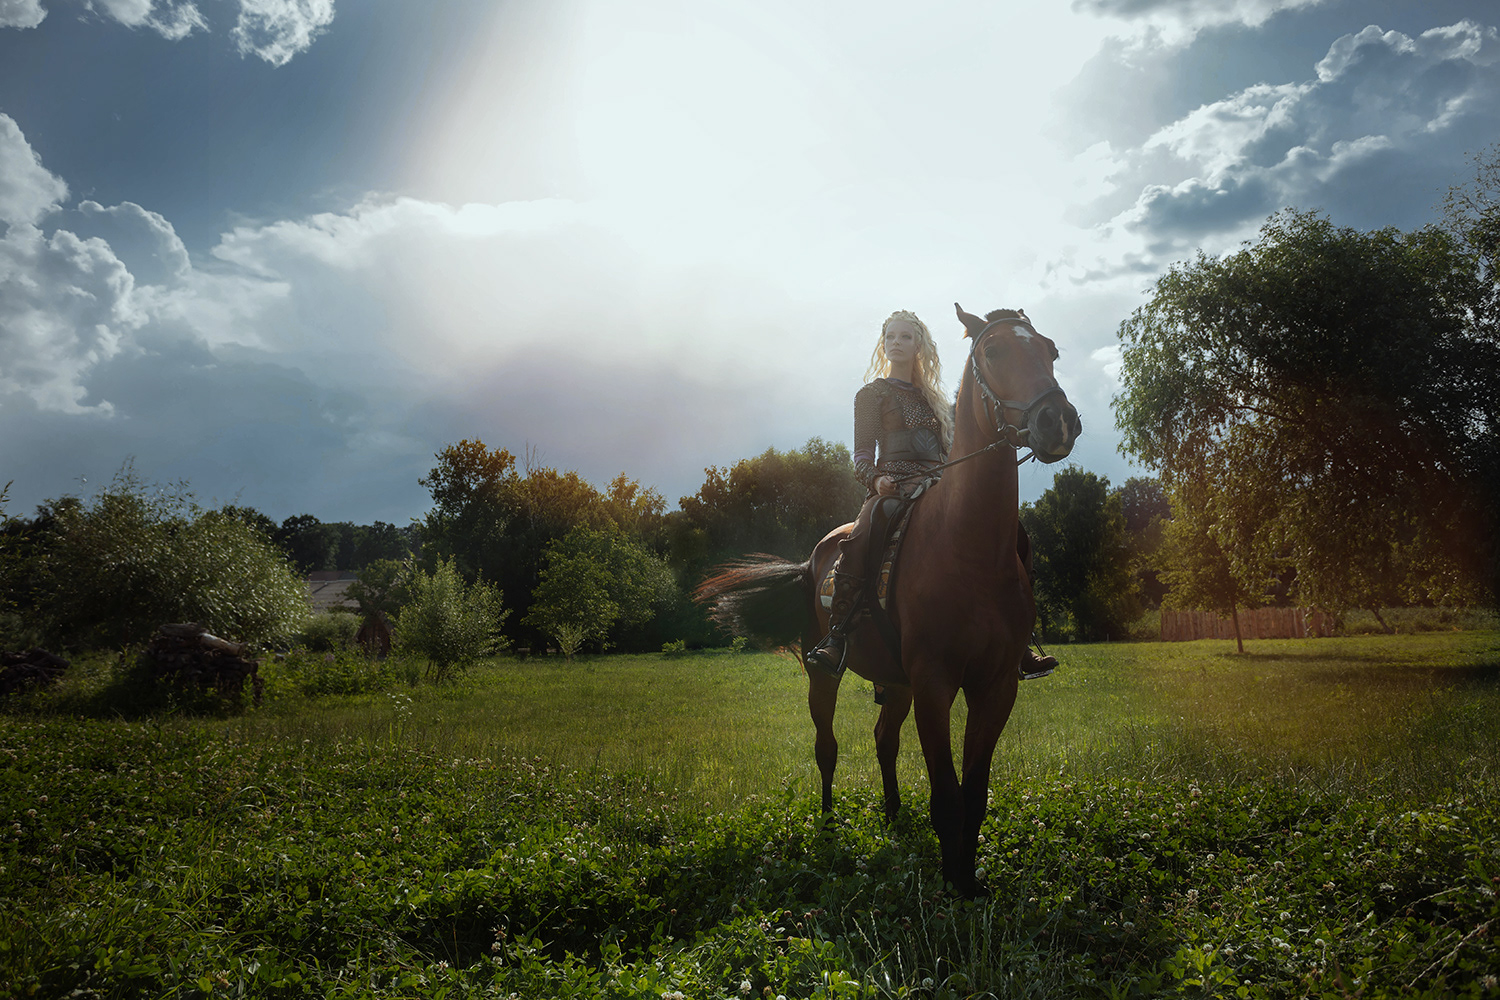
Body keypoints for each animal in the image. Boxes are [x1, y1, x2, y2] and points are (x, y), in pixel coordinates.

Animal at [696, 301, 1086, 893]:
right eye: (995, 350)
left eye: (1051, 350)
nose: (1057, 421)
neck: (969, 548)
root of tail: (813, 561)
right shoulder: (934, 683)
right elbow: (948, 797)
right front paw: (954, 890)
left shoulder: (995, 687)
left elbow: (974, 796)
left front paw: (968, 881)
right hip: (827, 676)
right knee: (827, 748)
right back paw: (829, 826)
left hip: (896, 683)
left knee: (883, 738)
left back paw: (894, 814)